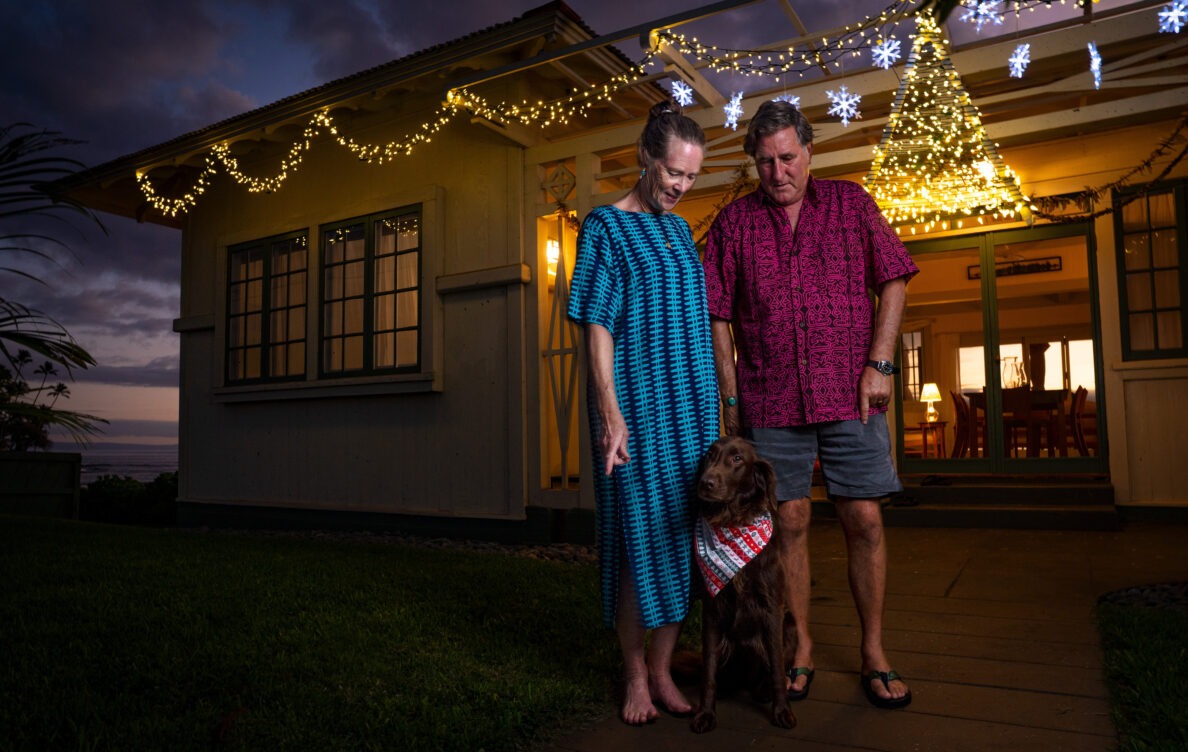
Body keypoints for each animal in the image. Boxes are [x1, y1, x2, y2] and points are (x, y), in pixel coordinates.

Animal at [693, 434, 793, 731]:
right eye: (710, 455)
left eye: (737, 459)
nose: (706, 483)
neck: (732, 521)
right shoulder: (712, 611)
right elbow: (709, 670)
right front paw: (706, 713)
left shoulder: (772, 609)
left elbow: (776, 666)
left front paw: (782, 710)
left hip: (790, 626)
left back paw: (763, 691)